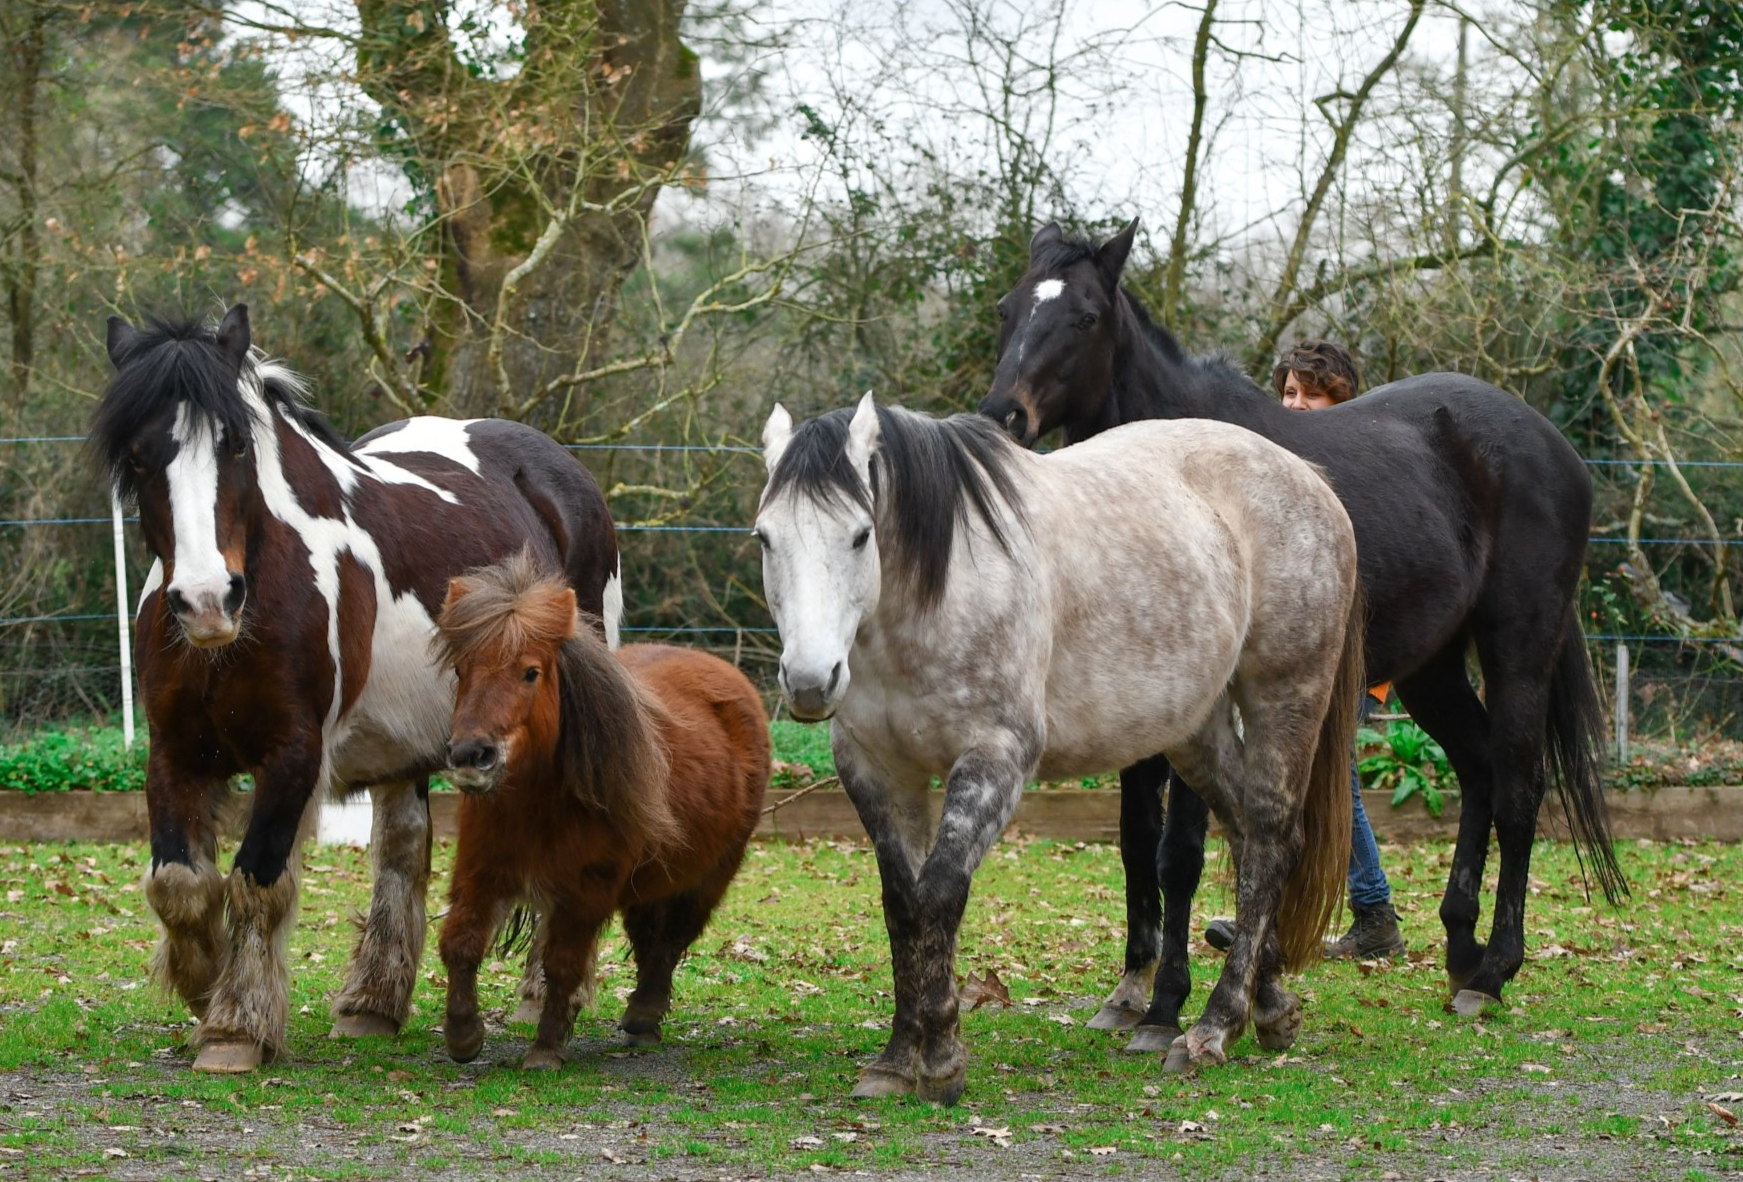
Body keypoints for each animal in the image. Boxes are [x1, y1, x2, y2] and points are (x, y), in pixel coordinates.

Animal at [89, 305, 620, 1072]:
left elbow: (255, 881)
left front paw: (235, 1026)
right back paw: (373, 1002)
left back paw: (550, 994)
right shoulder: (175, 750)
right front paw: (202, 979)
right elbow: (180, 886)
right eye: (138, 455)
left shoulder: (293, 752)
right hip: (404, 745)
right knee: (402, 849)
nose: (207, 600)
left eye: (236, 446)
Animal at [433, 552, 769, 1069]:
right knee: (649, 938)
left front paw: (547, 1047)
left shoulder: (586, 890)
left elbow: (562, 964)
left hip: (710, 874)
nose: (471, 755)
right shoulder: (479, 869)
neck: (538, 805)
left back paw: (644, 1015)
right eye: (460, 670)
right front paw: (463, 1033)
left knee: (672, 939)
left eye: (530, 672)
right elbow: (460, 940)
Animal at [756, 394, 1363, 1102]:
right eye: (765, 537)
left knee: (1270, 835)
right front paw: (897, 1059)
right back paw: (1268, 1006)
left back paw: (1213, 1027)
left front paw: (942, 1060)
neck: (933, 597)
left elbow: (939, 895)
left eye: (859, 535)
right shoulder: (877, 770)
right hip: (1195, 727)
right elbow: (903, 905)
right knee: (1247, 831)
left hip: (1284, 695)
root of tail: (1309, 479)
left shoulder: (995, 759)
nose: (809, 680)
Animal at [978, 219, 1626, 1044]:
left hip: (1519, 648)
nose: (1004, 417)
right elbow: (1133, 842)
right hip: (1431, 671)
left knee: (1517, 786)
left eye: (1085, 317)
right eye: (1007, 308)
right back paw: (1459, 950)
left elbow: (1179, 852)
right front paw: (1132, 989)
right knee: (1479, 769)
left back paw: (1493, 972)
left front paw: (1169, 1006)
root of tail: (1554, 446)